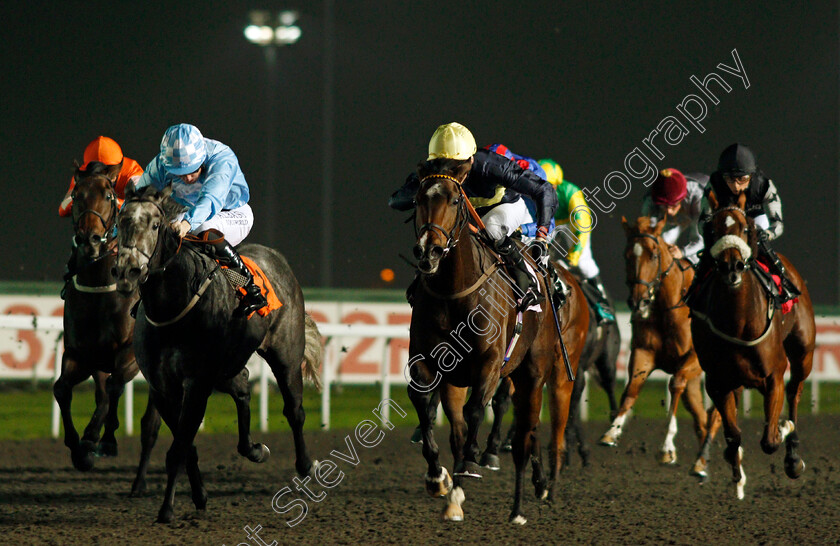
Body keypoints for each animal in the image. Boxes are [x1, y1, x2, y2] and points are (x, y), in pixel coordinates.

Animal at [54, 160, 140, 468]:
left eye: (108, 195)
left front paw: (99, 438)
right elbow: (62, 389)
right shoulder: (82, 354)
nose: (88, 239)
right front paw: (79, 448)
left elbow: (114, 387)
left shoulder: (129, 351)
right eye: (76, 195)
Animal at [112, 185, 322, 520]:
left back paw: (305, 466)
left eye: (155, 225)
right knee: (243, 386)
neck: (172, 307)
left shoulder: (197, 383)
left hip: (285, 354)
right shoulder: (163, 387)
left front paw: (167, 509)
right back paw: (254, 449)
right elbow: (185, 445)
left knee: (294, 410)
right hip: (228, 364)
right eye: (121, 222)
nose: (128, 271)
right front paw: (198, 496)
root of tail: (276, 258)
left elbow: (179, 448)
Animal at [408, 160, 592, 524]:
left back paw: (542, 488)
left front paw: (470, 464)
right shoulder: (429, 363)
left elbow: (476, 411)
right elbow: (429, 408)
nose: (428, 251)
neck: (453, 291)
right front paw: (439, 479)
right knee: (524, 425)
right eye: (419, 198)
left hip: (552, 371)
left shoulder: (490, 363)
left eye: (455, 200)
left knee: (545, 427)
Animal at [596, 216, 716, 468]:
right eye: (626, 255)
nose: (638, 301)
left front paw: (667, 447)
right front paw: (612, 431)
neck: (668, 308)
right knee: (701, 419)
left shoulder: (693, 359)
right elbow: (632, 387)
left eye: (653, 255)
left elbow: (675, 385)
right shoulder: (643, 353)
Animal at [688, 191, 812, 498]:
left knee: (795, 392)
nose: (731, 266)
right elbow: (732, 435)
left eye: (746, 228)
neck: (739, 322)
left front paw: (783, 428)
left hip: (803, 353)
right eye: (711, 229)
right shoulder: (718, 381)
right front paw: (737, 475)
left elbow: (769, 439)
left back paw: (793, 454)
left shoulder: (774, 374)